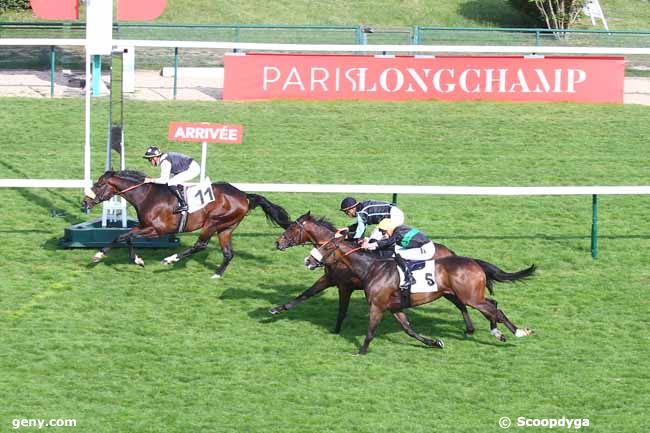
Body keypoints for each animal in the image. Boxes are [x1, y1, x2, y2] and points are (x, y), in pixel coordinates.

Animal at [81, 169, 292, 276]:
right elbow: (124, 236)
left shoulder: (157, 230)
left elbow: (126, 236)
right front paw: (133, 259)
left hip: (213, 223)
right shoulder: (143, 226)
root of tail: (244, 196)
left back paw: (170, 259)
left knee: (201, 245)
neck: (146, 195)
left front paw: (102, 256)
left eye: (99, 185)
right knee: (228, 253)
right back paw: (217, 274)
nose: (84, 203)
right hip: (226, 228)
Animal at [270, 213, 478, 334]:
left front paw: (336, 330)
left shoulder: (345, 286)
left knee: (462, 303)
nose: (278, 243)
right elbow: (305, 294)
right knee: (461, 303)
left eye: (292, 228)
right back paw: (470, 328)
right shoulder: (329, 279)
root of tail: (450, 252)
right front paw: (276, 309)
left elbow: (342, 310)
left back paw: (470, 328)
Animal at [304, 236, 532, 354]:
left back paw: (518, 332)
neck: (372, 268)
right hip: (468, 295)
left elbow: (370, 331)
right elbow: (409, 330)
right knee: (492, 305)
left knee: (495, 309)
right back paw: (496, 332)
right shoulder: (395, 307)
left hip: (470, 297)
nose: (308, 260)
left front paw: (361, 351)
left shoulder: (377, 306)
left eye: (326, 246)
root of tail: (473, 261)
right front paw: (434, 343)